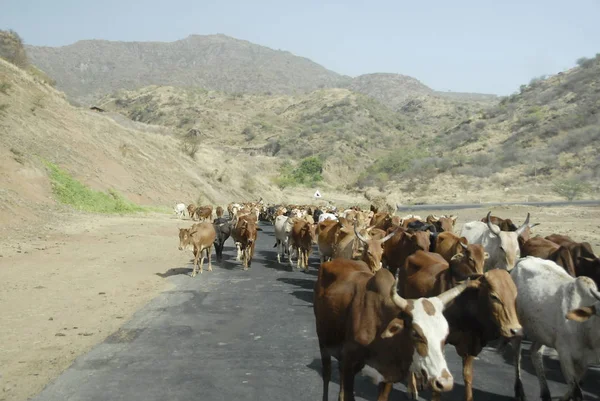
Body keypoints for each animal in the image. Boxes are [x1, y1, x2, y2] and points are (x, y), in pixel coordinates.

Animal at [314, 258, 474, 400]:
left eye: (445, 334)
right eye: (415, 333)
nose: (444, 383)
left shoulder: (387, 377)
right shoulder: (349, 364)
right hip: (323, 343)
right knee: (327, 375)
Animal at [510, 256, 600, 400]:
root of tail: (525, 258)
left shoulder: (584, 361)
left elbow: (573, 387)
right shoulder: (564, 353)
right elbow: (576, 391)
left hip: (541, 332)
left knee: (535, 353)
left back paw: (545, 393)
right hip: (517, 324)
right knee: (516, 353)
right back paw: (519, 391)